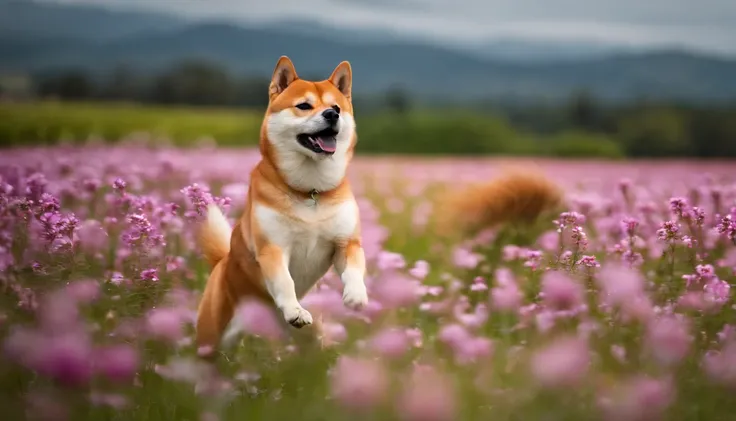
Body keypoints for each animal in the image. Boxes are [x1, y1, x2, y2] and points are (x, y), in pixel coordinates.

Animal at [196, 55, 368, 352]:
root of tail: (221, 262)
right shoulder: (273, 249)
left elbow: (354, 269)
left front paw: (356, 295)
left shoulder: (345, 243)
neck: (311, 191)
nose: (331, 114)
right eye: (304, 106)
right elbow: (285, 282)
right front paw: (295, 310)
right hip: (210, 337)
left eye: (336, 107)